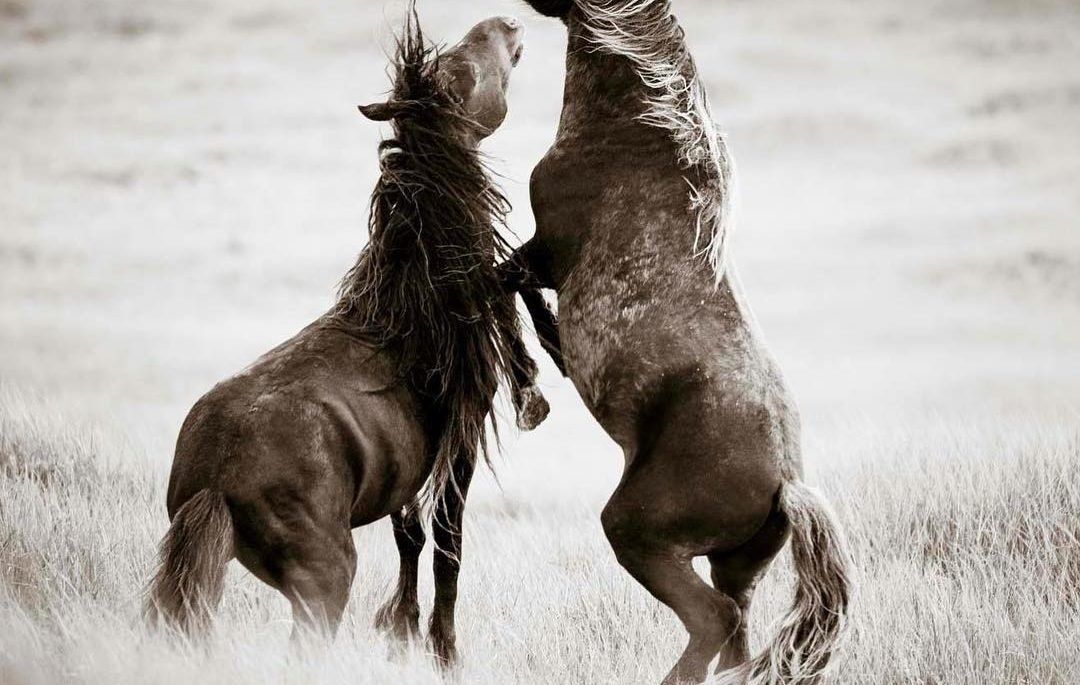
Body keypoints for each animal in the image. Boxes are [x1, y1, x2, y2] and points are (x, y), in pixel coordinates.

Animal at [145, 10, 552, 666]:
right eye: (460, 70)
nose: (511, 22)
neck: (413, 310)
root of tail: (214, 478)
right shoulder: (460, 441)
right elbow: (448, 544)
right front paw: (442, 648)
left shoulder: (406, 469)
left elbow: (410, 536)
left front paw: (402, 630)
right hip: (326, 577)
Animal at [505, 2, 855, 683]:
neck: (637, 133)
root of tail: (785, 484)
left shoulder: (542, 251)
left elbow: (496, 277)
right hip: (734, 564)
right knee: (737, 623)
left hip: (637, 534)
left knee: (713, 619)